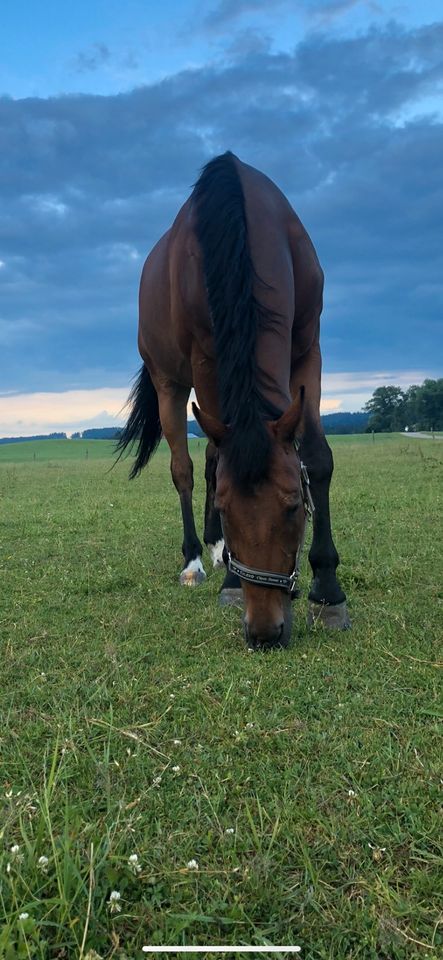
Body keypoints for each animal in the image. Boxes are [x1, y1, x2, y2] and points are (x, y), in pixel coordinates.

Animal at [117, 154, 350, 648]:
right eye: (227, 509)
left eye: (293, 505)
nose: (264, 632)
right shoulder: (206, 360)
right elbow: (208, 465)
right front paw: (230, 583)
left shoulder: (308, 347)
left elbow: (317, 458)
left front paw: (328, 590)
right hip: (169, 385)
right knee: (184, 469)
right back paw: (195, 560)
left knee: (208, 458)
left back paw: (215, 548)